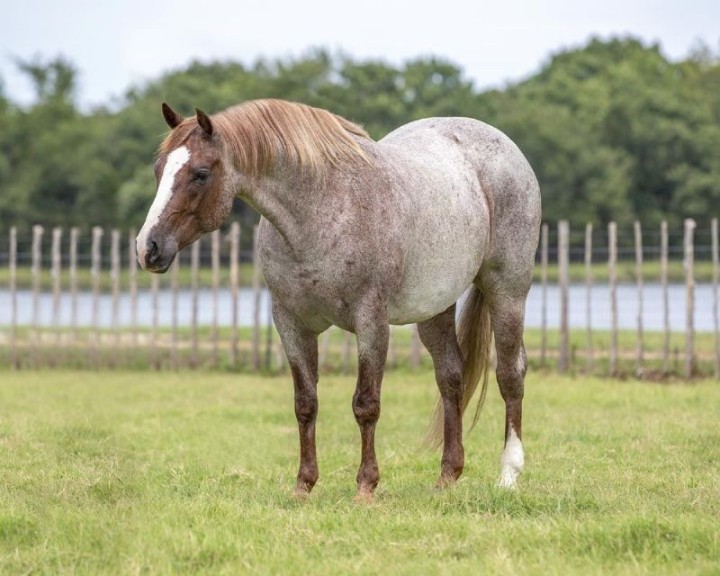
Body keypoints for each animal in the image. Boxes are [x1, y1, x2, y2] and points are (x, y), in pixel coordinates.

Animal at [136, 99, 541, 500]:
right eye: (159, 168)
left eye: (200, 173)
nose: (147, 247)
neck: (321, 210)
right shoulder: (290, 322)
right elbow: (305, 403)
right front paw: (303, 485)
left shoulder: (371, 321)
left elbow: (366, 404)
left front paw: (366, 486)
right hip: (434, 308)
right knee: (451, 376)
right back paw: (447, 476)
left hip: (507, 291)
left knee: (510, 374)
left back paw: (508, 475)